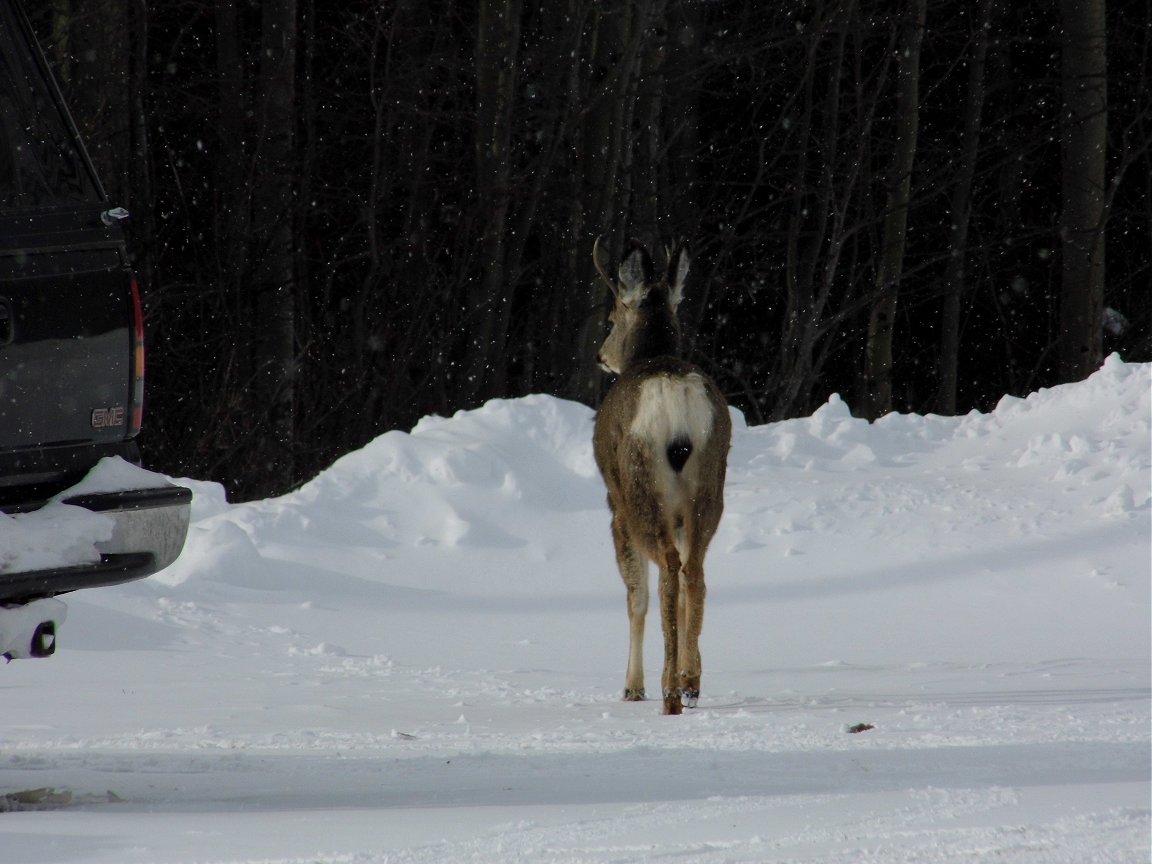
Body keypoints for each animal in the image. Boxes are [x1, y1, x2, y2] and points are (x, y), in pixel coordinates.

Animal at [594, 237, 728, 718]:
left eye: (611, 318)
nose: (600, 356)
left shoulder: (614, 507)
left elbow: (635, 598)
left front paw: (632, 686)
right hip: (710, 485)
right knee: (695, 573)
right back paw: (689, 682)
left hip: (639, 491)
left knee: (668, 570)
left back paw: (669, 691)